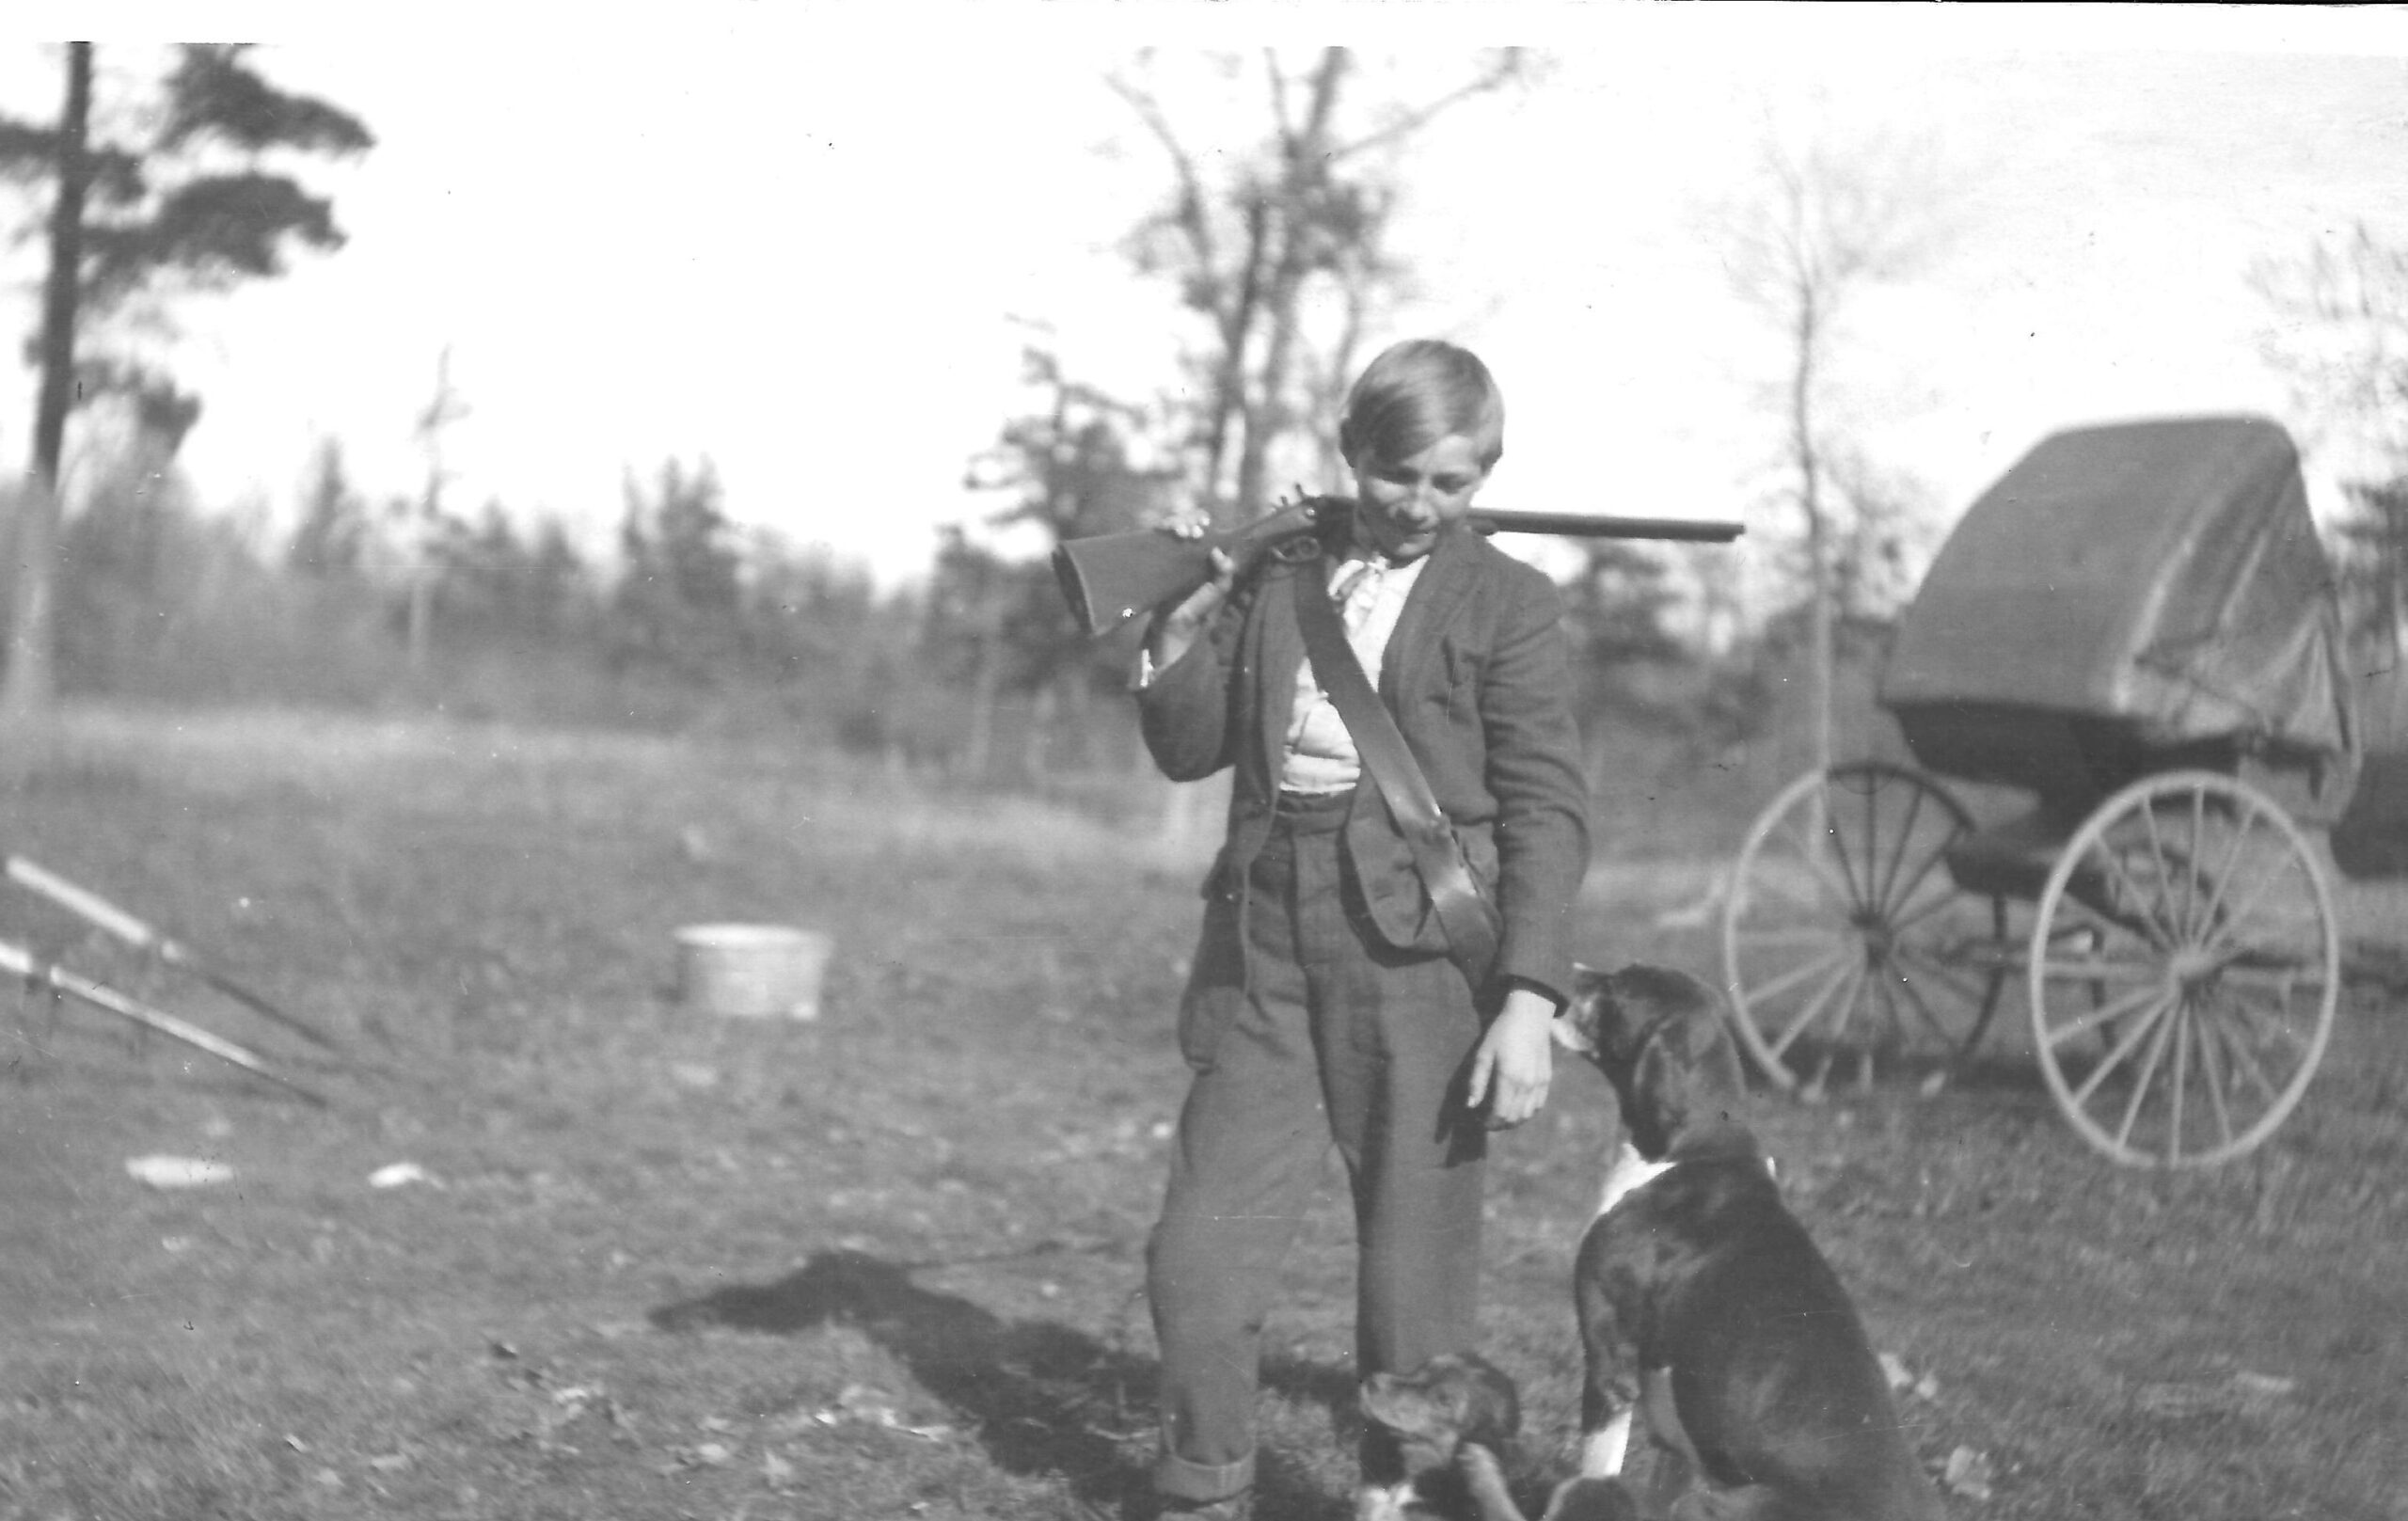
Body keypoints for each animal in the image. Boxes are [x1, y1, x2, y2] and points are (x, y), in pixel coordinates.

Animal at [1550, 967, 1945, 1511]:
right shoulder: (1676, 1437)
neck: (1691, 1148)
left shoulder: (1610, 1370)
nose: (1577, 972)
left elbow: (1592, 1478)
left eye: (1621, 989)